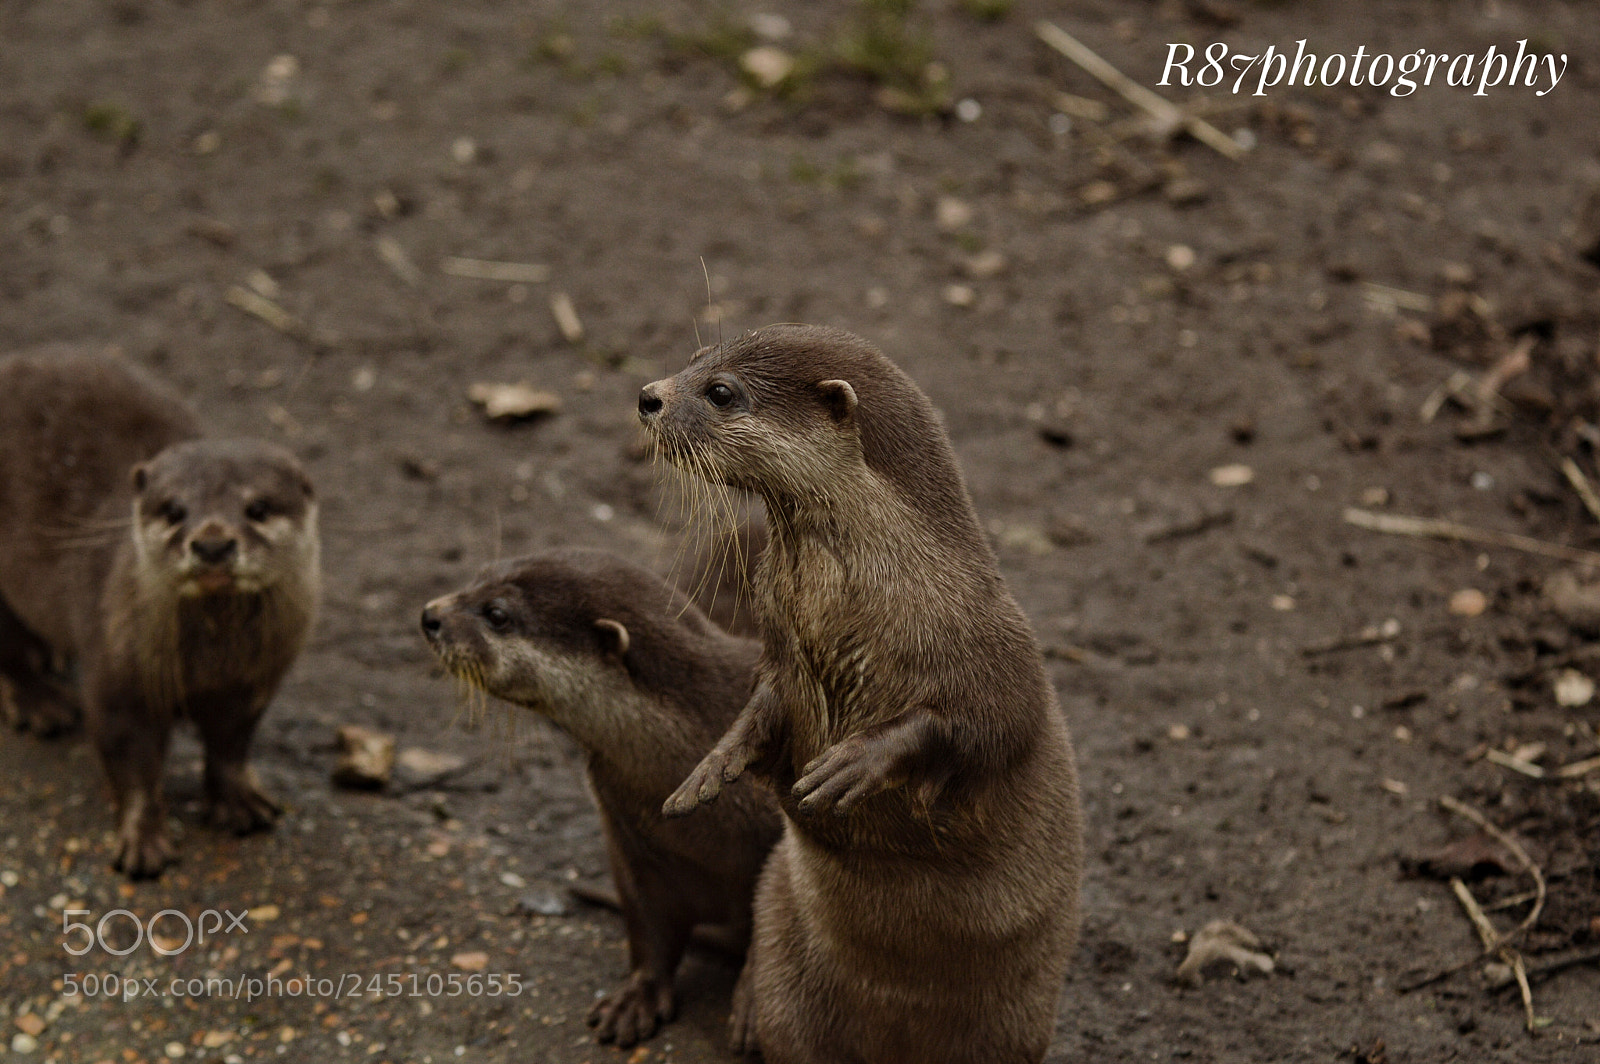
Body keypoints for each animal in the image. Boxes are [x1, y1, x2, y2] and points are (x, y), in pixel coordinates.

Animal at [0, 350, 320, 878]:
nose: (213, 543)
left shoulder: (253, 683)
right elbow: (131, 765)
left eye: (257, 507)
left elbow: (232, 745)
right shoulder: (117, 677)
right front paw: (143, 842)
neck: (211, 665)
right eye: (173, 510)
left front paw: (240, 802)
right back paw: (39, 703)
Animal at [419, 548, 781, 1048]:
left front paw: (751, 1002)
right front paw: (636, 999)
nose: (429, 615)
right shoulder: (631, 846)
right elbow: (647, 926)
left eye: (497, 614)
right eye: (477, 576)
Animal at [638, 324, 1083, 1064]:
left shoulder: (998, 654)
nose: (648, 395)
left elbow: (983, 724)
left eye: (722, 391)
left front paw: (856, 762)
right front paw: (710, 769)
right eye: (694, 358)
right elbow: (762, 708)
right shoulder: (778, 652)